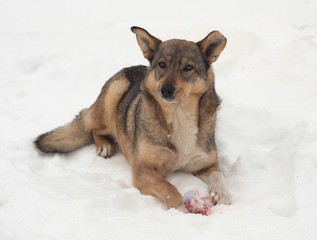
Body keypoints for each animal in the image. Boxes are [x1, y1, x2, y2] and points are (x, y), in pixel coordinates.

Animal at [34, 26, 228, 210]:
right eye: (162, 64)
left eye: (188, 68)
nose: (166, 90)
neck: (178, 115)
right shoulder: (142, 170)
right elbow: (169, 189)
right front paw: (183, 210)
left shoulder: (207, 164)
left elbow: (219, 176)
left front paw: (222, 194)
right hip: (114, 94)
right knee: (92, 127)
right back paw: (104, 146)